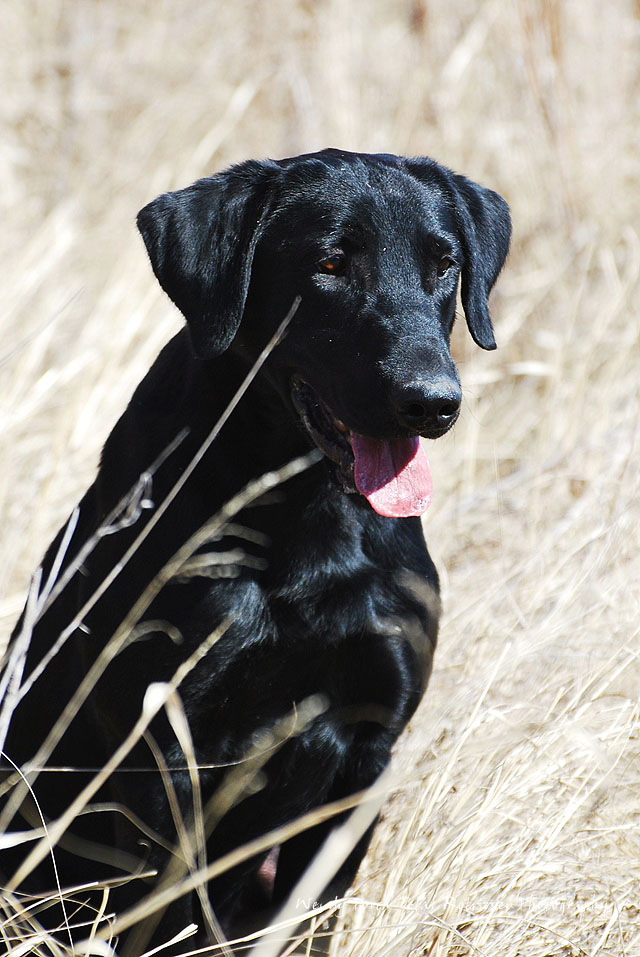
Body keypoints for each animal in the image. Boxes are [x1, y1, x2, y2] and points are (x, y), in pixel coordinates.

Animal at [1, 149, 510, 948]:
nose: (432, 401)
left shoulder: (366, 746)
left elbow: (306, 919)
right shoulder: (163, 746)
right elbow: (166, 913)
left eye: (444, 265)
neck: (307, 510)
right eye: (330, 264)